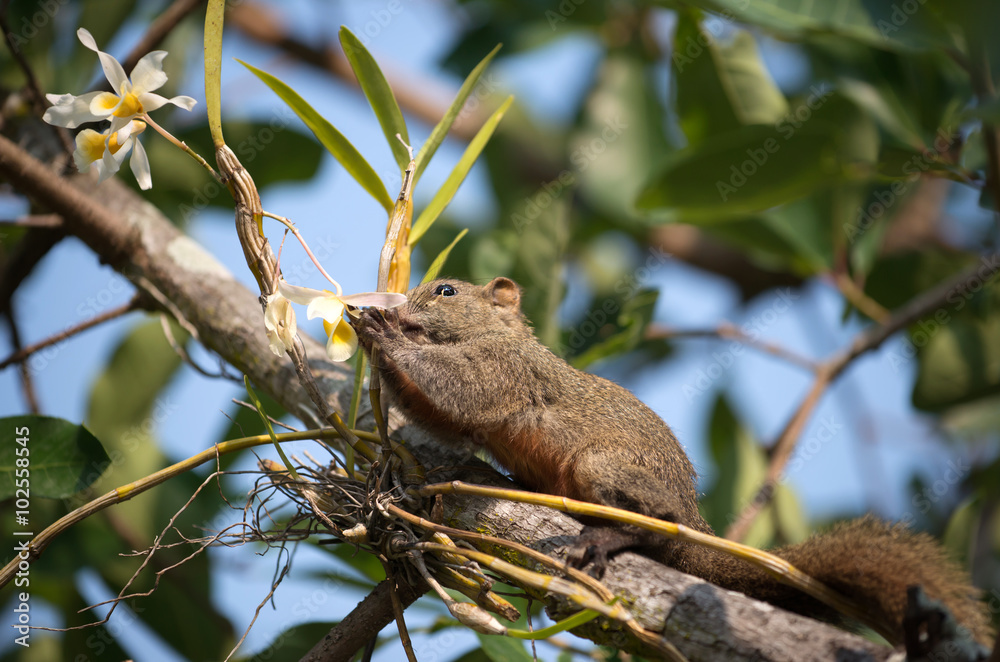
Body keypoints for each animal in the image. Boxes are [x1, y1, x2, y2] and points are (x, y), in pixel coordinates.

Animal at [352, 274, 992, 648]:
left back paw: (612, 539)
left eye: (447, 292)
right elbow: (442, 416)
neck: (492, 334)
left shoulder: (506, 371)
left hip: (603, 470)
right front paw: (374, 338)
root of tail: (695, 519)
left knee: (659, 530)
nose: (399, 309)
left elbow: (458, 388)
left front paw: (384, 334)